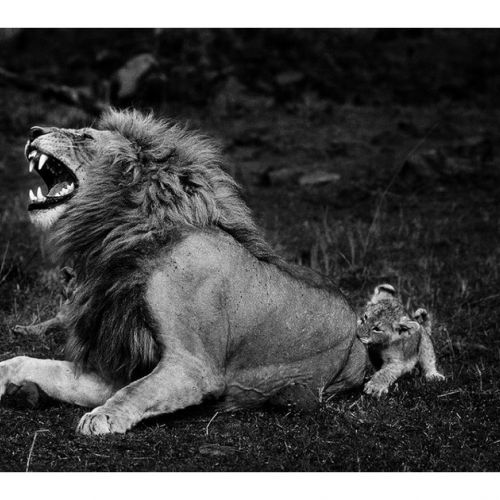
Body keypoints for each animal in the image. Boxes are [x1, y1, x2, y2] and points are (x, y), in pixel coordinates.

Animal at [0, 109, 368, 434]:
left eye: (85, 136)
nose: (33, 130)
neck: (117, 233)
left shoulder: (194, 366)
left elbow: (136, 391)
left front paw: (102, 417)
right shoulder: (122, 363)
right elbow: (29, 362)